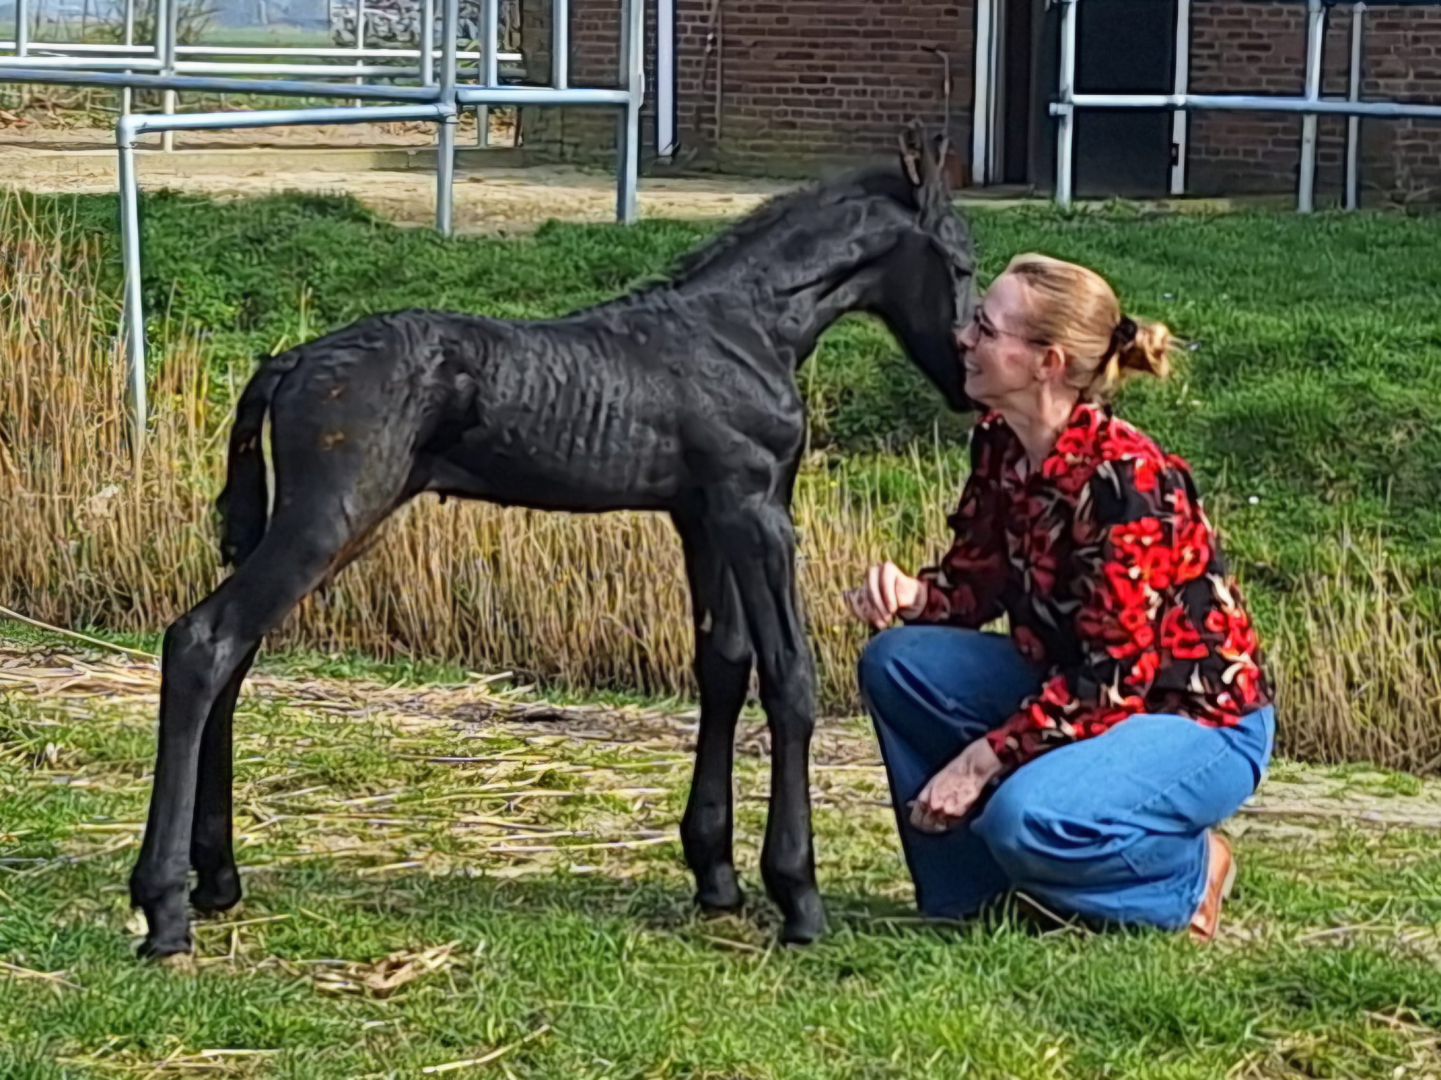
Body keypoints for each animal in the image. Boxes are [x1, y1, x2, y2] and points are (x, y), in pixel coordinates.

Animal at [128, 131, 978, 959]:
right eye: (964, 262)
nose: (968, 385)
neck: (743, 330)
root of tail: (292, 360)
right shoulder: (756, 511)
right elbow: (788, 677)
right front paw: (797, 895)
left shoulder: (701, 517)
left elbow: (723, 665)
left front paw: (715, 874)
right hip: (329, 520)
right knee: (204, 640)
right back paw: (164, 908)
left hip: (323, 528)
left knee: (235, 655)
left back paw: (217, 878)